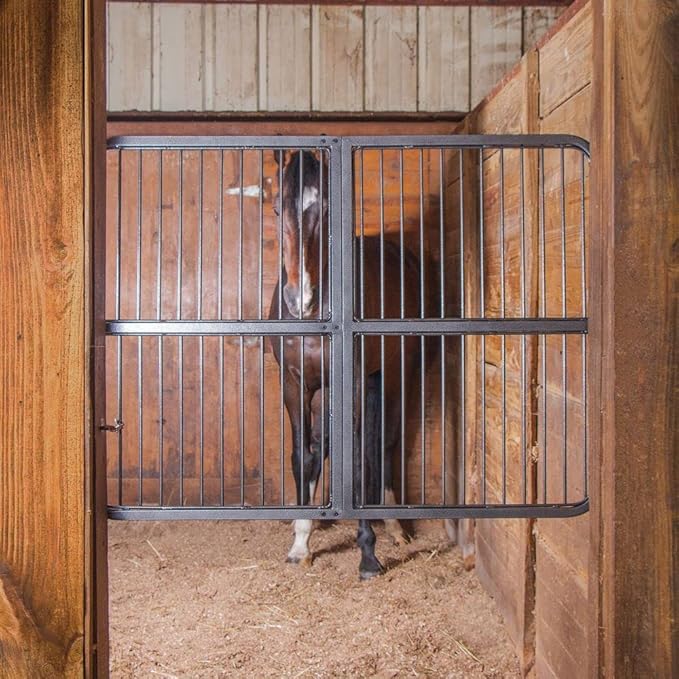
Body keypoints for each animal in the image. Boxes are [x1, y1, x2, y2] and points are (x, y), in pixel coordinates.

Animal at [268, 149, 419, 579]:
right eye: (276, 207)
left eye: (326, 207)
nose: (298, 298)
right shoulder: (295, 383)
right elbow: (303, 454)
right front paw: (301, 541)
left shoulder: (351, 381)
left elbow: (358, 456)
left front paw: (368, 554)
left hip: (394, 374)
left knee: (383, 443)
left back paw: (394, 526)